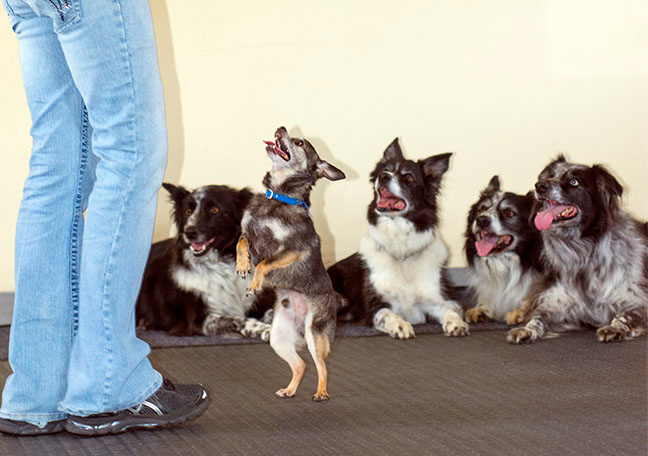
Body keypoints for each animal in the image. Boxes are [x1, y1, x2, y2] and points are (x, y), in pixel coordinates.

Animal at [508, 155, 644, 344]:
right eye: (550, 176)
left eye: (574, 182)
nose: (539, 186)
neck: (583, 251)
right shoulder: (557, 303)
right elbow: (537, 316)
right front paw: (526, 329)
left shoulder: (635, 300)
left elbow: (625, 315)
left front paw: (614, 328)